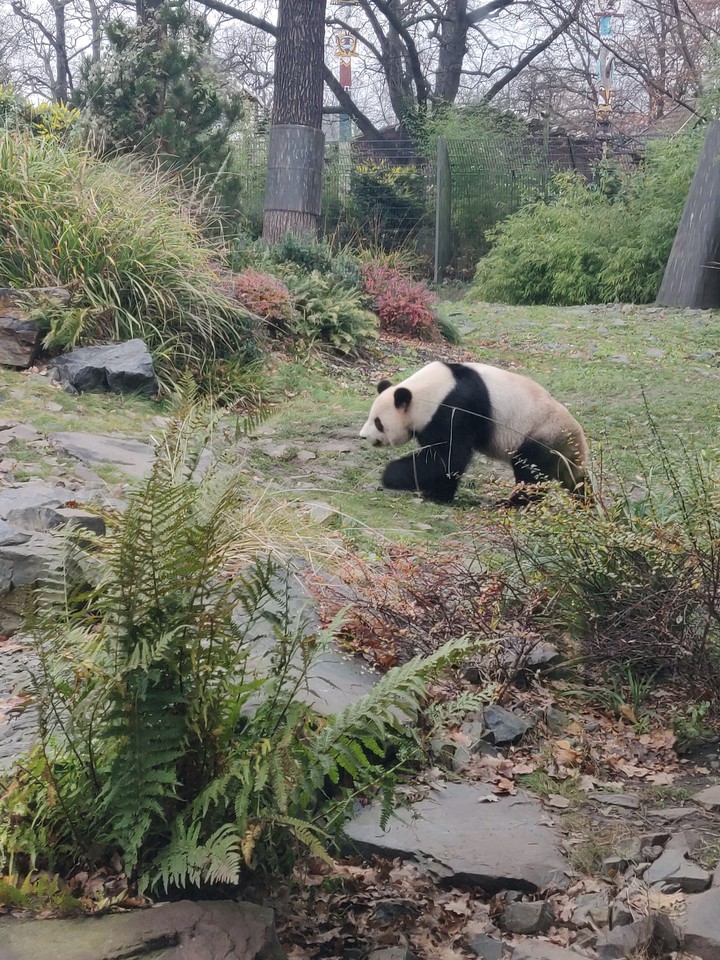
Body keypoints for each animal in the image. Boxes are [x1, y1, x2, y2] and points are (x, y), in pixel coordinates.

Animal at [359, 360, 589, 505]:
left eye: (378, 422)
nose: (363, 436)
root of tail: (577, 437)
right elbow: (443, 460)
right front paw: (438, 494)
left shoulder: (456, 407)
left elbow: (449, 456)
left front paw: (391, 476)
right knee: (573, 479)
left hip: (541, 433)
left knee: (530, 469)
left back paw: (513, 503)